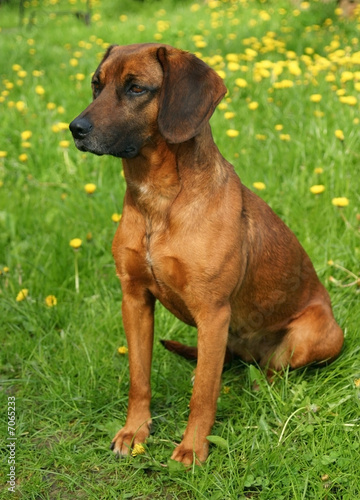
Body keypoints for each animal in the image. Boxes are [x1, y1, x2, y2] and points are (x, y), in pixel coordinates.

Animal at [69, 43, 344, 464]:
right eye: (96, 86)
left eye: (136, 88)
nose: (75, 129)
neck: (158, 202)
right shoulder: (134, 299)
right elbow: (139, 378)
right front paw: (135, 431)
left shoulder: (212, 313)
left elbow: (203, 395)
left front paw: (192, 449)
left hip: (310, 336)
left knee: (270, 373)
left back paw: (256, 390)